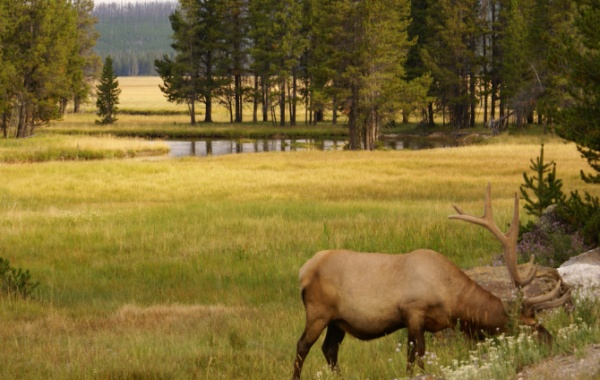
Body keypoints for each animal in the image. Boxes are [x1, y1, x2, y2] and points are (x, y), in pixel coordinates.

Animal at [292, 183, 568, 378]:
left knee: (329, 350)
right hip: (318, 312)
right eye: (530, 326)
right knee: (302, 346)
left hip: (338, 320)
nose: (552, 341)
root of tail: (303, 271)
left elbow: (415, 356)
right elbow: (417, 356)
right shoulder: (413, 313)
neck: (452, 302)